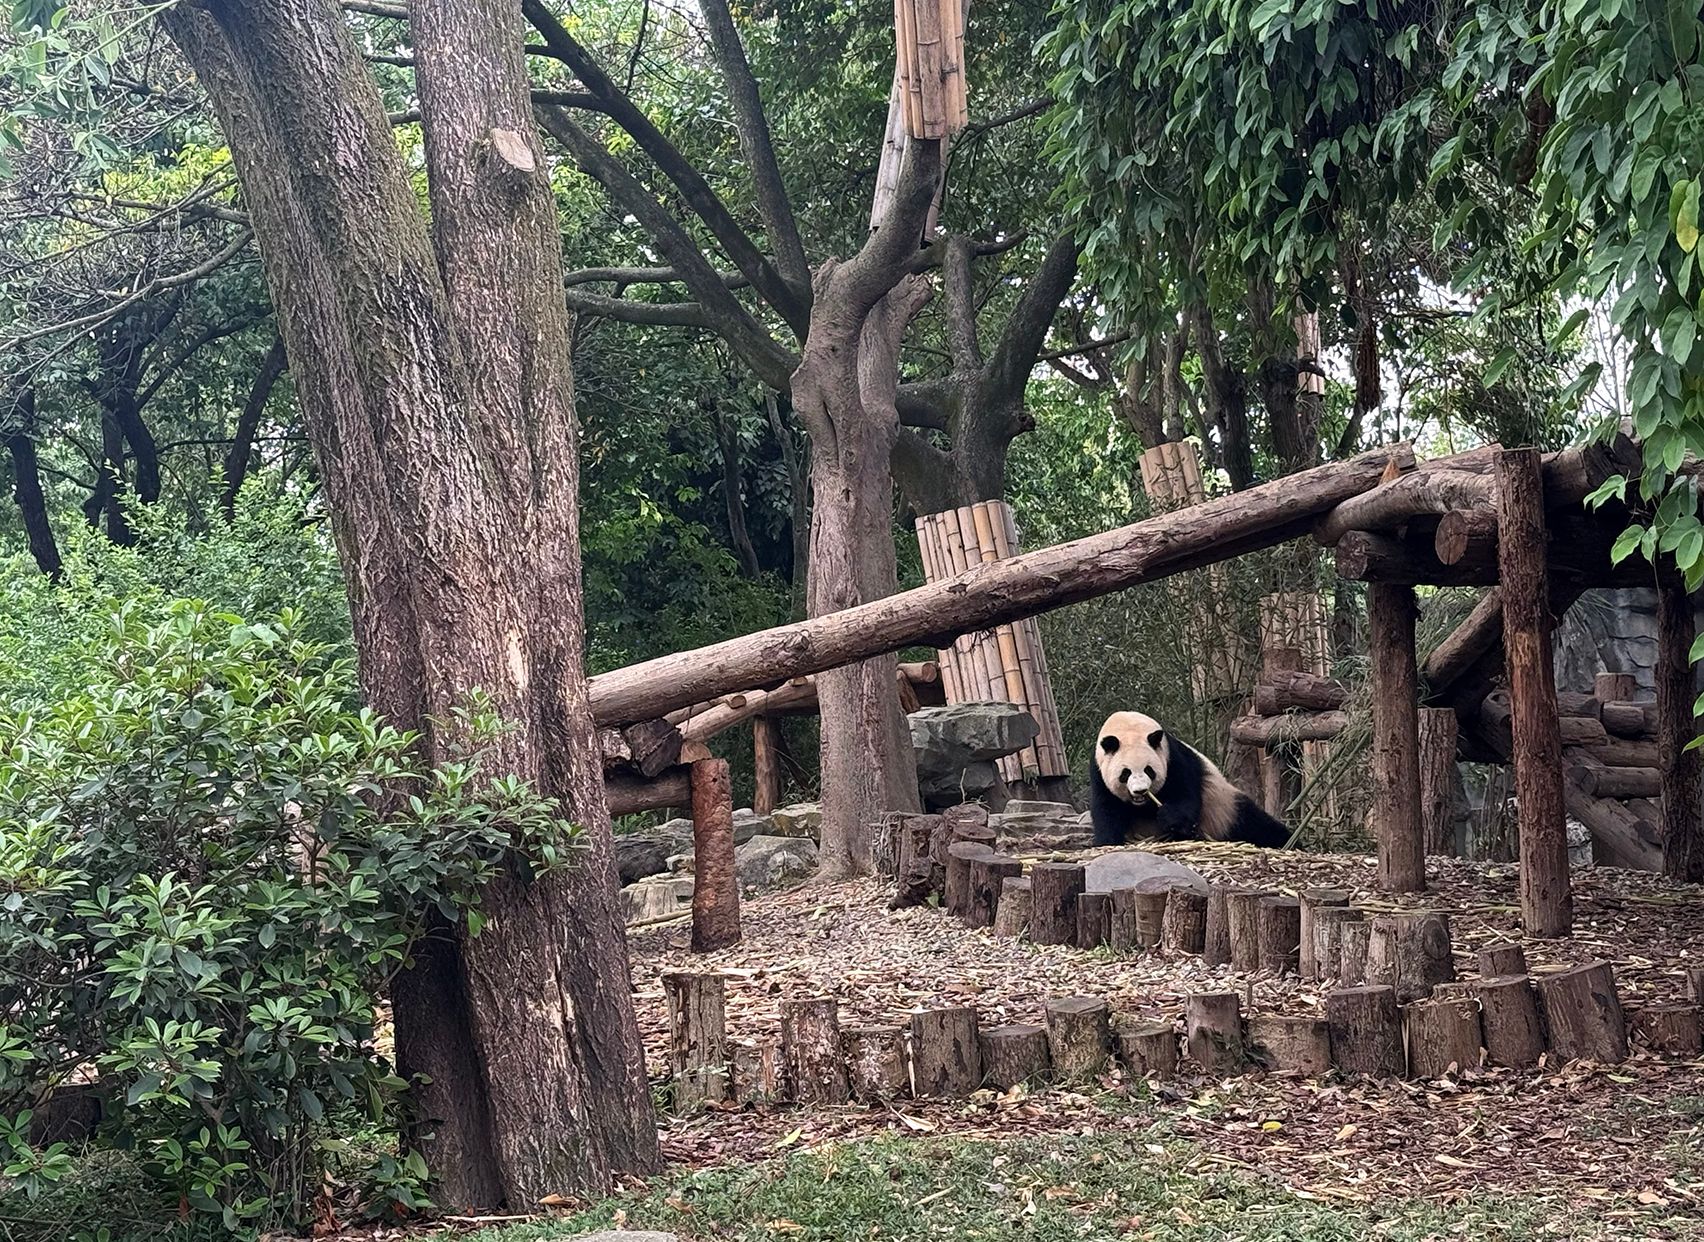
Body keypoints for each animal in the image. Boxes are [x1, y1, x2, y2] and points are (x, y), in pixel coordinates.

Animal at [1089, 709, 1291, 849]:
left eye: (1149, 770)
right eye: (1126, 773)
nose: (1140, 791)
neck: (1127, 725)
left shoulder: (1173, 758)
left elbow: (1185, 796)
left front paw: (1169, 816)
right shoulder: (1098, 771)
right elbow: (1106, 809)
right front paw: (1107, 841)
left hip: (1225, 809)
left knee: (1255, 824)